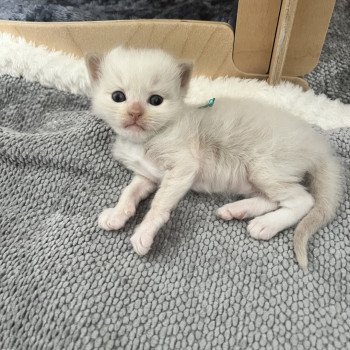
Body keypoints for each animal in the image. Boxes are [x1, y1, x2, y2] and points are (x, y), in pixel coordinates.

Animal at [86, 46, 340, 268]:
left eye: (155, 100)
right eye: (118, 96)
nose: (135, 113)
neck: (144, 140)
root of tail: (318, 144)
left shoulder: (183, 166)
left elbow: (159, 204)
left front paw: (144, 233)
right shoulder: (147, 175)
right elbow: (129, 192)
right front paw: (117, 214)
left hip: (265, 167)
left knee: (303, 200)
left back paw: (265, 224)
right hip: (256, 176)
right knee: (272, 199)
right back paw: (238, 210)